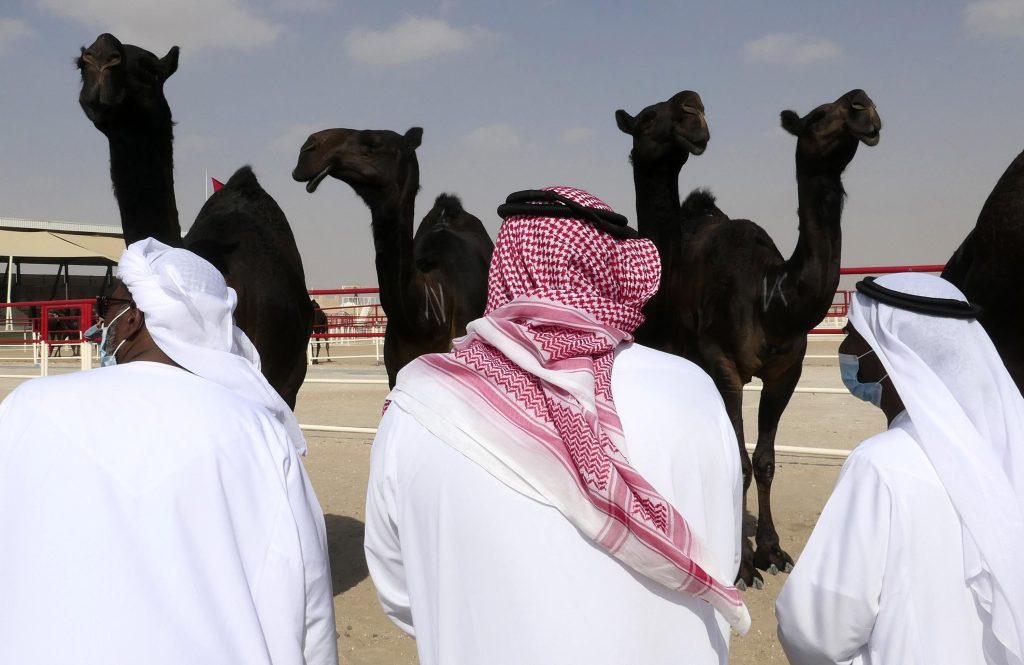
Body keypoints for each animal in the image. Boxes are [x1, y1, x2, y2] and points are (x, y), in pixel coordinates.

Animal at [618, 88, 884, 586]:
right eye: (820, 115)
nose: (863, 105)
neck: (772, 297)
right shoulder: (723, 364)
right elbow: (737, 460)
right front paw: (741, 563)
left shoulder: (786, 371)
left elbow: (764, 460)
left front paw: (772, 551)